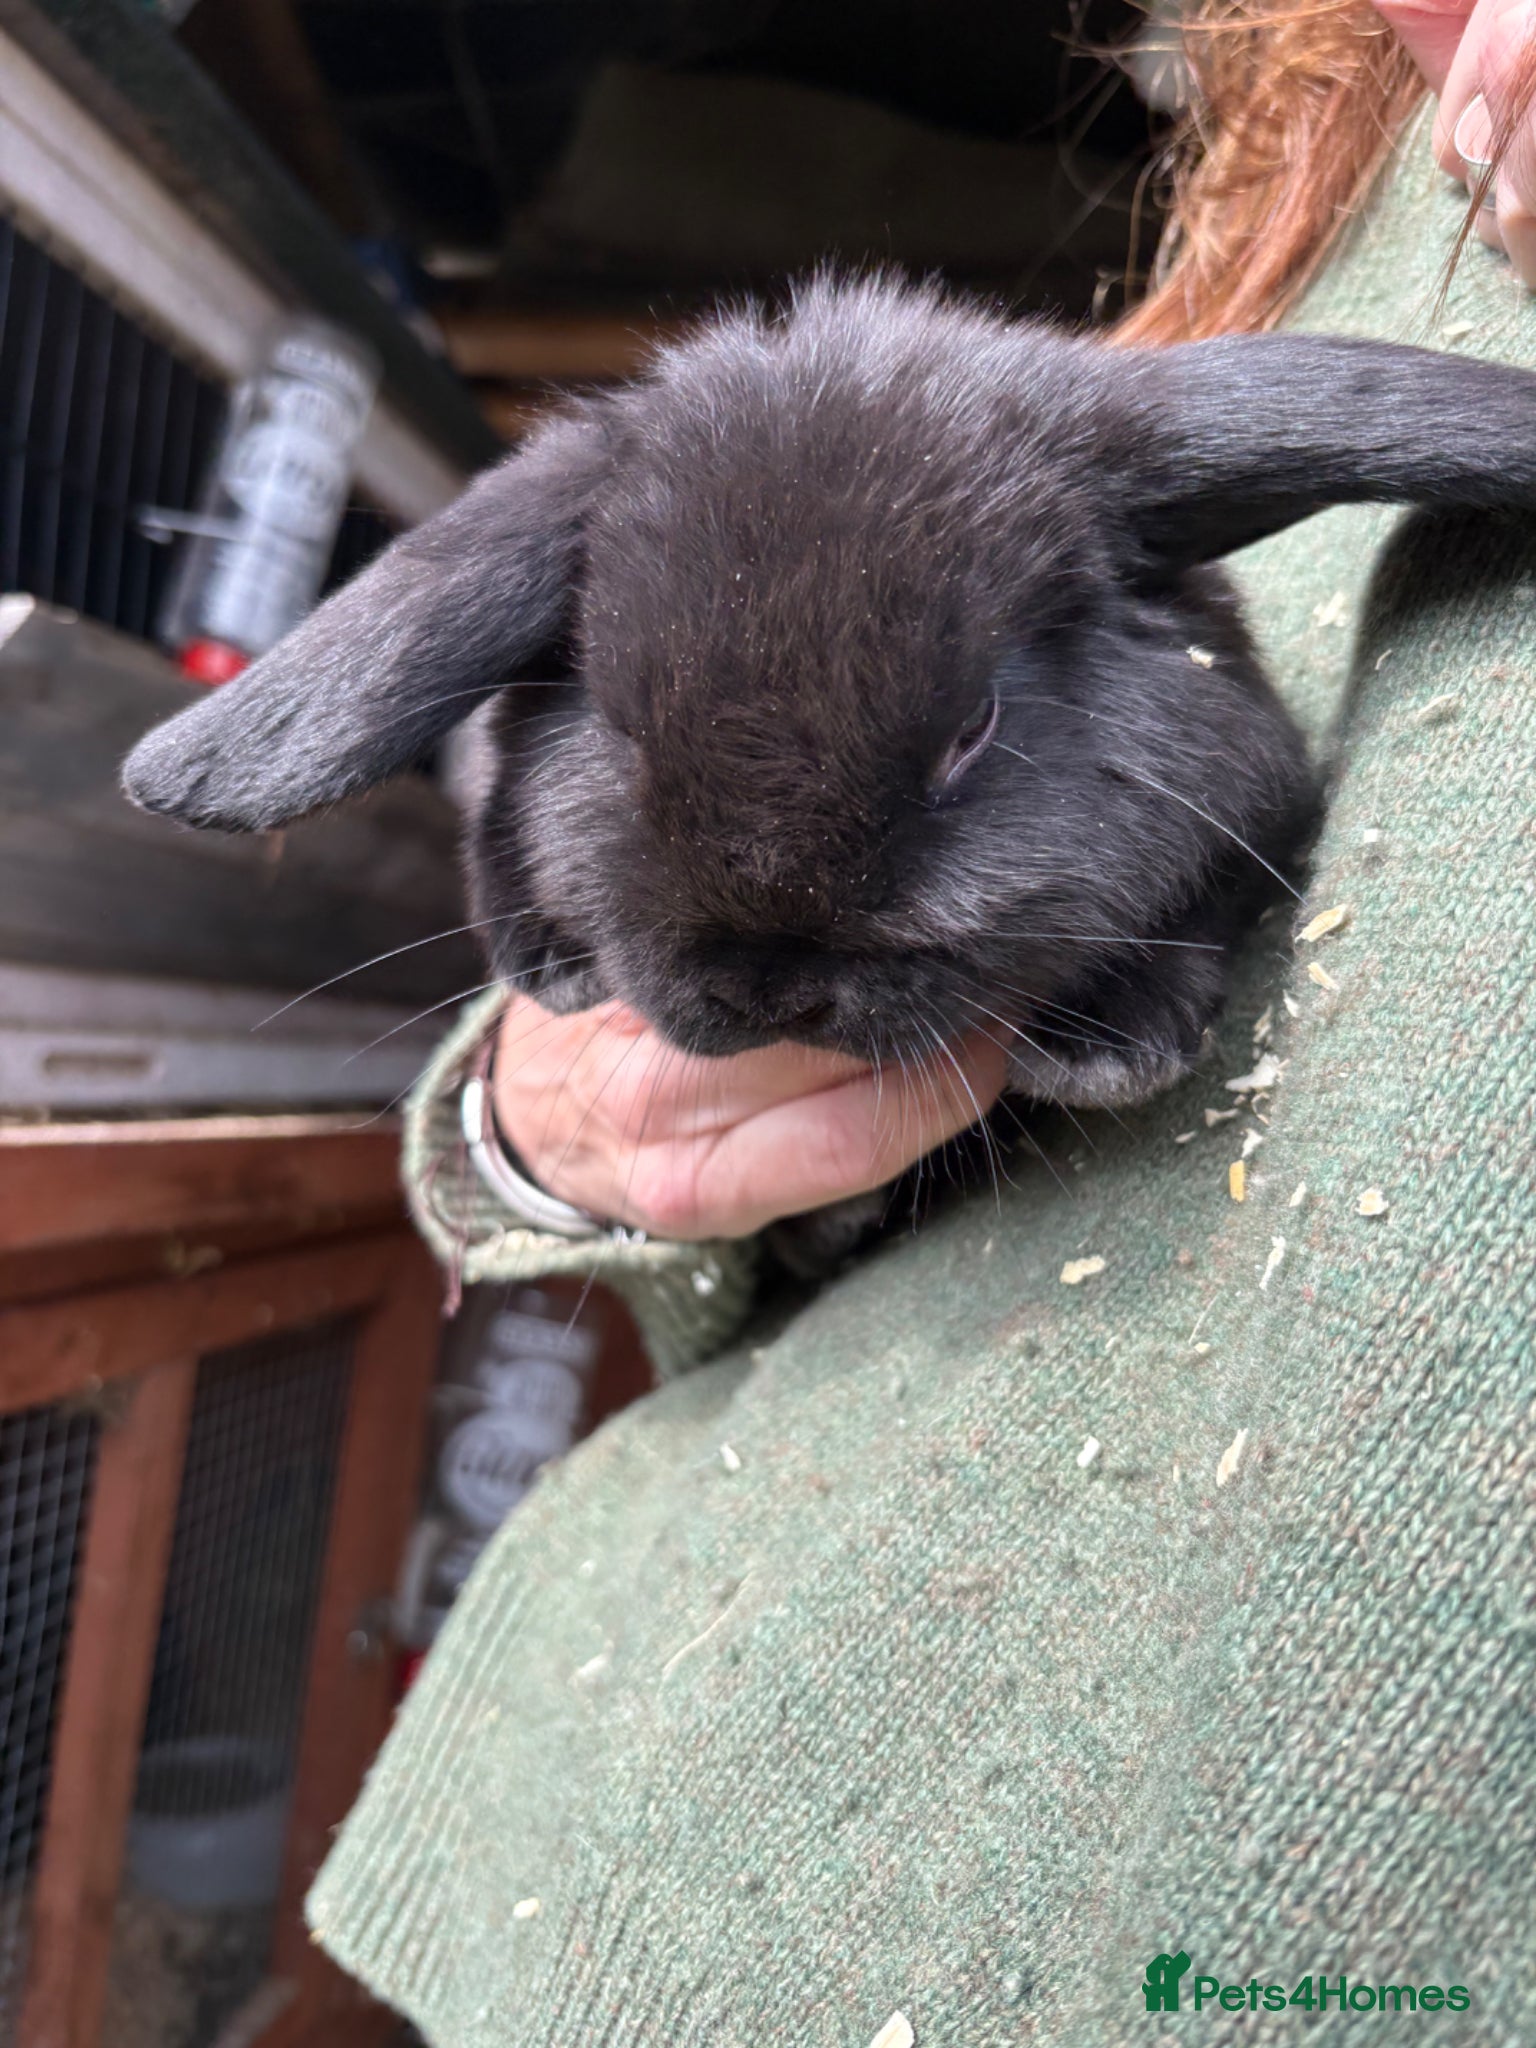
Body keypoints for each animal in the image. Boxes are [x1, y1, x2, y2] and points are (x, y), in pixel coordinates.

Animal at [123, 276, 1536, 1246]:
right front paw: (552, 965)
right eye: (620, 725)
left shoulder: (1251, 792)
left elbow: (1201, 902)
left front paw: (1104, 1040)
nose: (774, 988)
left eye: (973, 726)